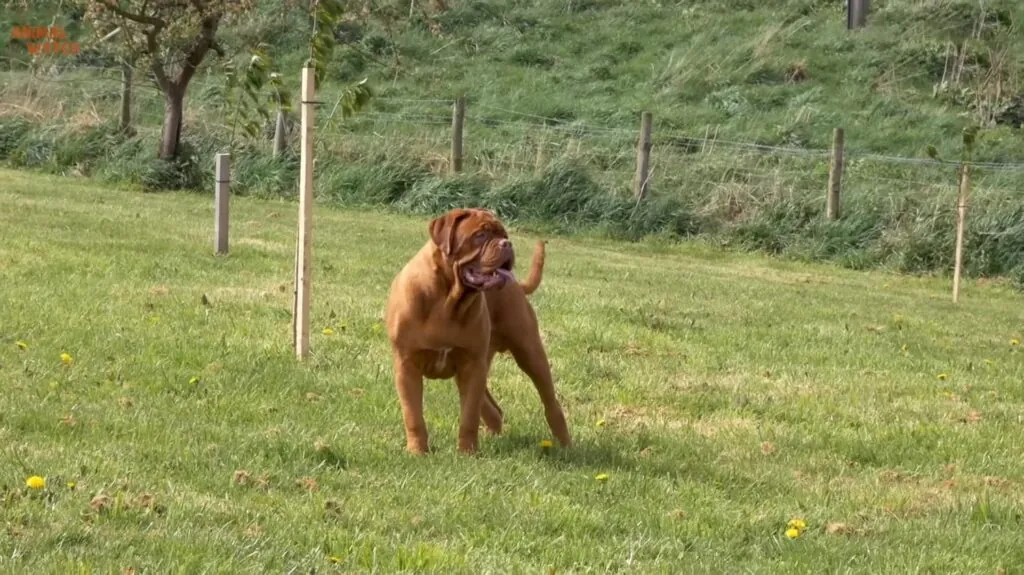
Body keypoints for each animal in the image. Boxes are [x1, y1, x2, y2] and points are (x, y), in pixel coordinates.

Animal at [385, 205, 577, 452]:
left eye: (503, 234)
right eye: (480, 235)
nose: (507, 243)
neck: (447, 297)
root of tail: (517, 284)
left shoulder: (472, 366)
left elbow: (469, 415)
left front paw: (467, 453)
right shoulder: (407, 365)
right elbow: (413, 415)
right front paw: (418, 451)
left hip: (529, 352)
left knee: (550, 403)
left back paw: (565, 445)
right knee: (493, 410)